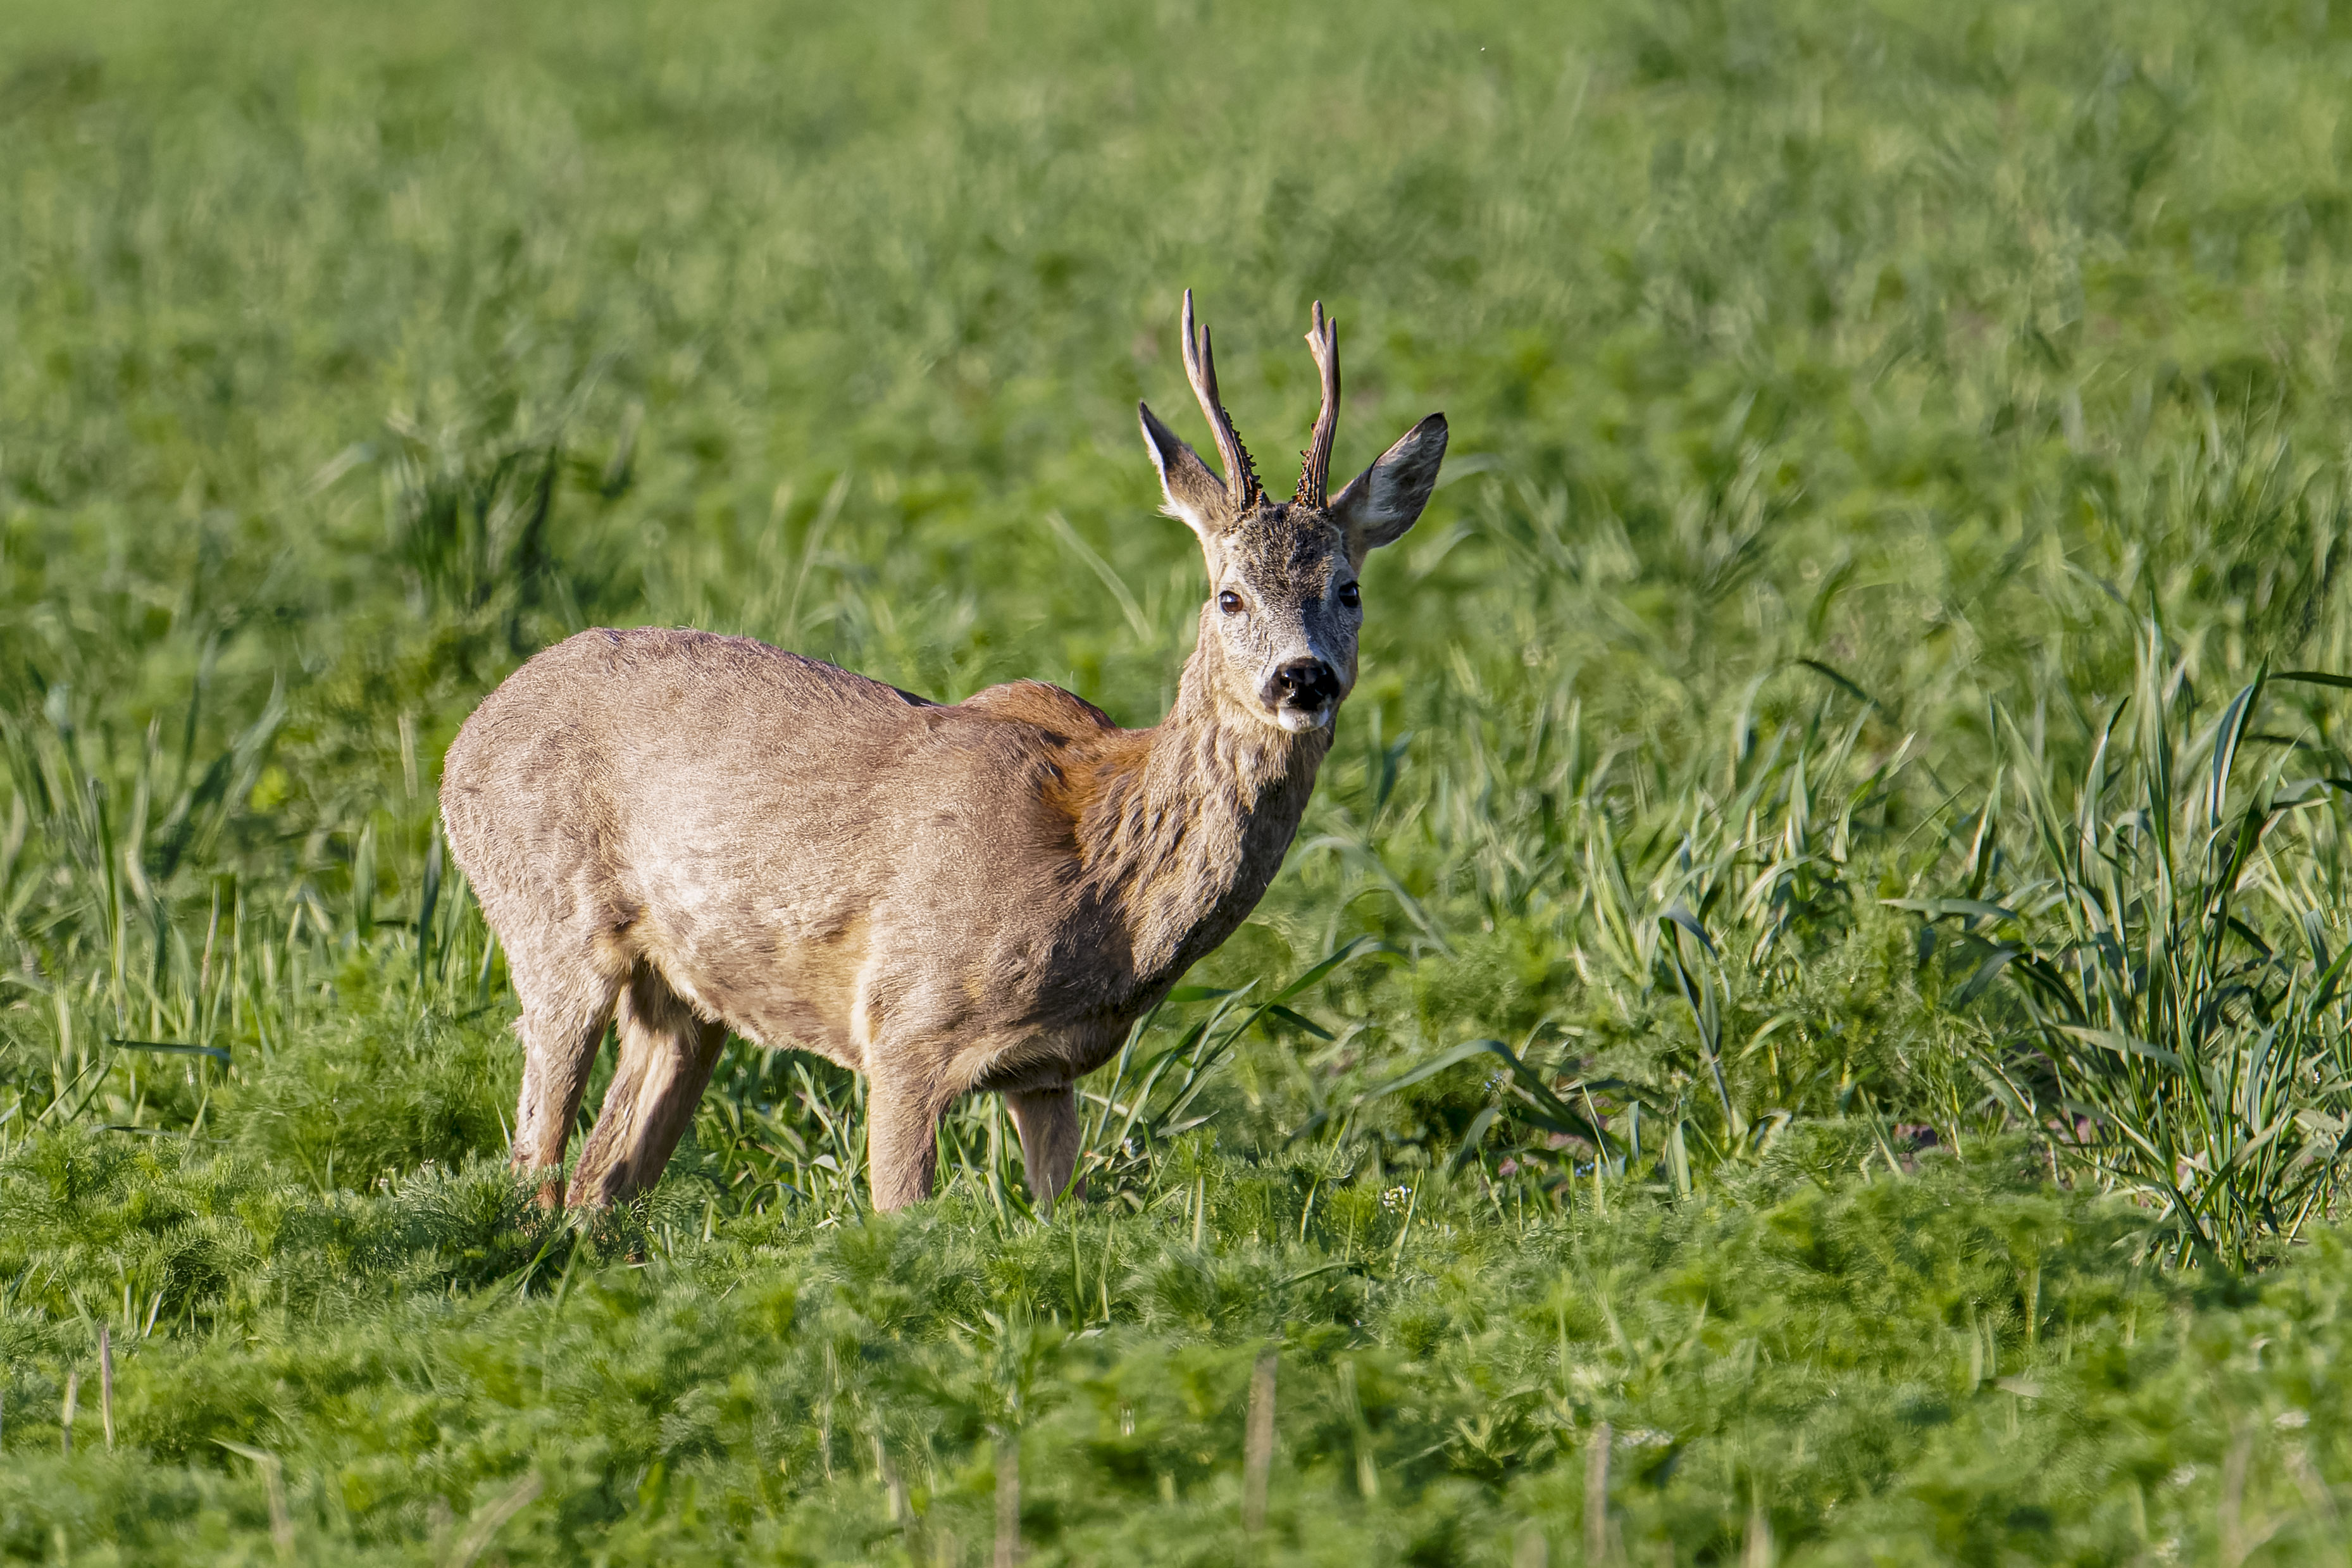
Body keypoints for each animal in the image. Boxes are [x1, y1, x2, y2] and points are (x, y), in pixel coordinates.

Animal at [438, 292, 1446, 1214]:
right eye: (1229, 595)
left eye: (1349, 588)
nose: (1302, 678)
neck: (1102, 872)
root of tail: (465, 739)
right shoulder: (904, 1023)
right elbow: (898, 1218)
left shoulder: (1049, 1070)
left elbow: (1063, 1216)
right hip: (548, 924)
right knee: (535, 1160)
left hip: (683, 999)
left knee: (601, 1180)